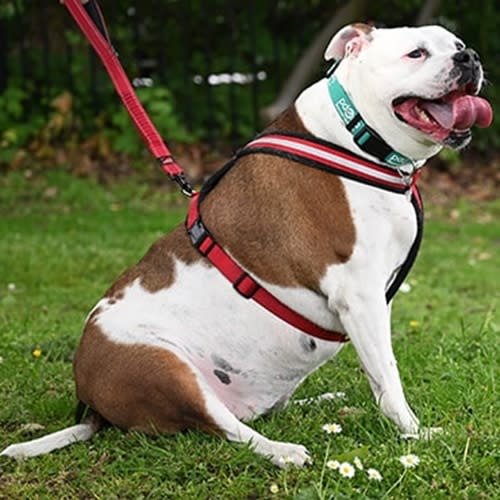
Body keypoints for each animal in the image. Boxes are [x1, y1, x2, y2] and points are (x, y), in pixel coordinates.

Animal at [0, 24, 492, 468]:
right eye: (416, 53)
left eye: (457, 44)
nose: (469, 57)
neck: (354, 138)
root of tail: (90, 403)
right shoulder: (360, 295)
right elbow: (388, 376)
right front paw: (414, 433)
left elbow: (378, 371)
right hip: (164, 368)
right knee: (228, 429)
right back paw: (282, 451)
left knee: (257, 413)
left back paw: (325, 402)